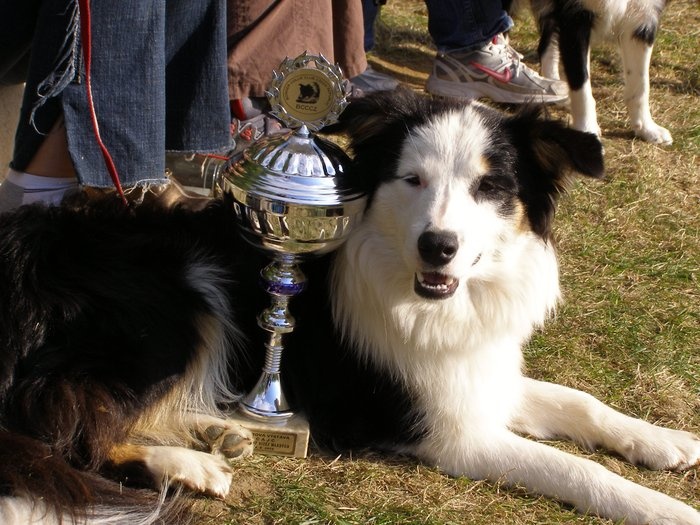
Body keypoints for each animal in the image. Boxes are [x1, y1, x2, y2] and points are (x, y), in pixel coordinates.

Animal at [1, 91, 700, 524]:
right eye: (412, 179)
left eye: (490, 187)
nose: (438, 246)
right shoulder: (450, 435)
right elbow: (575, 469)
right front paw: (668, 508)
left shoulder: (472, 376)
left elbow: (581, 403)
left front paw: (664, 441)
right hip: (178, 305)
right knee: (68, 433)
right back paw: (190, 463)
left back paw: (218, 432)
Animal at [508, 0, 672, 143]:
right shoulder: (575, 17)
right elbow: (581, 84)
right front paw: (586, 129)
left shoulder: (642, 17)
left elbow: (641, 84)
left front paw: (646, 128)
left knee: (546, 46)